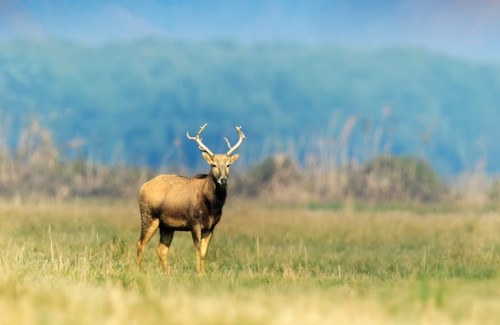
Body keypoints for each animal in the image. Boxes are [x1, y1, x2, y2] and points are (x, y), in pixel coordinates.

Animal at [137, 124, 246, 274]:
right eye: (213, 164)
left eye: (228, 165)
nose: (223, 180)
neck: (212, 206)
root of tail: (142, 187)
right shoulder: (194, 222)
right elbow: (197, 250)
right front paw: (198, 273)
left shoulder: (211, 226)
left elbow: (204, 252)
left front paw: (204, 273)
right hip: (149, 217)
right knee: (140, 243)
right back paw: (137, 270)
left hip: (167, 226)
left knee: (161, 248)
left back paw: (167, 273)